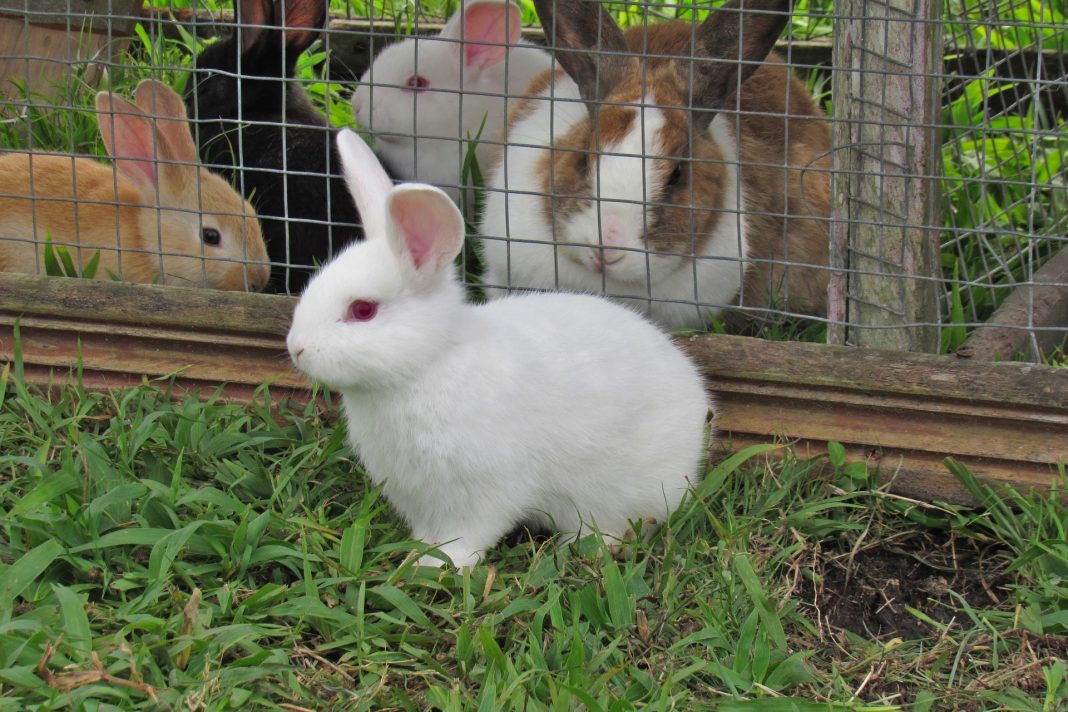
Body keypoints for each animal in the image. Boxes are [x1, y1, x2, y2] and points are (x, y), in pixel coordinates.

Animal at [287, 129, 713, 569]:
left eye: (363, 310)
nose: (296, 348)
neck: (429, 365)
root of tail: (698, 406)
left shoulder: (482, 492)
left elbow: (469, 534)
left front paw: (439, 566)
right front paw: (417, 555)